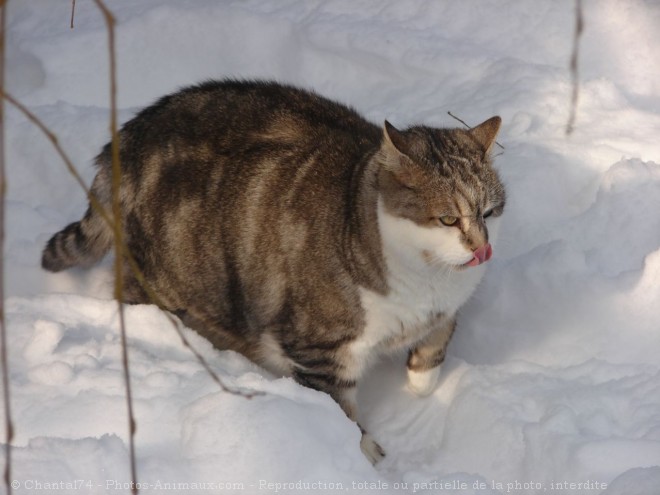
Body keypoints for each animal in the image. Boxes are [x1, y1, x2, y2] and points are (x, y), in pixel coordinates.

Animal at [42, 79, 506, 464]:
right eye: (448, 219)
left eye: (489, 212)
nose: (482, 249)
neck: (425, 280)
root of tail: (125, 140)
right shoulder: (320, 350)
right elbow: (340, 409)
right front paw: (362, 456)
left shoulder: (445, 307)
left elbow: (436, 344)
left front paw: (419, 382)